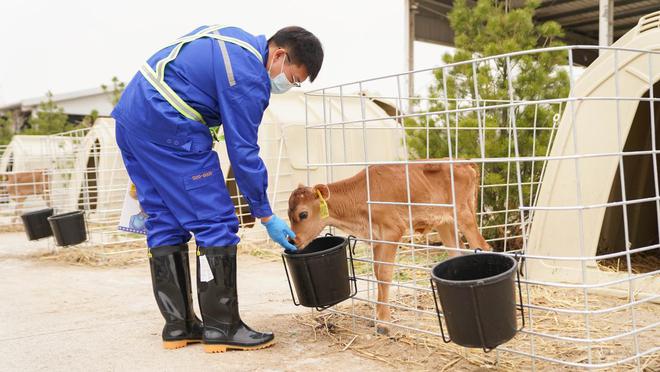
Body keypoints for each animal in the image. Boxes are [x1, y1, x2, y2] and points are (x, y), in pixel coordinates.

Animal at [288, 161, 490, 336]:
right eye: (288, 214)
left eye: (303, 214)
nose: (292, 242)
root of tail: (464, 162)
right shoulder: (377, 238)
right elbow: (377, 272)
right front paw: (377, 317)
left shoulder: (392, 231)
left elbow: (384, 273)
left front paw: (384, 323)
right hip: (445, 222)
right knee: (457, 252)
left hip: (464, 214)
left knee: (483, 246)